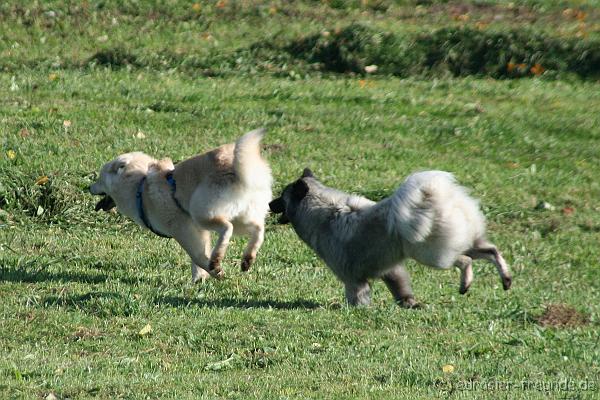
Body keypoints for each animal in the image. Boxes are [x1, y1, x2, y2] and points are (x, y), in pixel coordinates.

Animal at [88, 128, 272, 282]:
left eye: (99, 179)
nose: (88, 187)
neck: (140, 185)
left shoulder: (182, 228)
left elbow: (197, 256)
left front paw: (214, 271)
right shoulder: (198, 231)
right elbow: (198, 256)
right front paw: (199, 279)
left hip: (202, 212)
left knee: (227, 228)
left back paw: (216, 259)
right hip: (241, 216)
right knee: (258, 230)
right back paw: (247, 258)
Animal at [270, 169, 510, 306]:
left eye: (281, 197)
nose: (269, 204)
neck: (324, 213)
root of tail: (437, 197)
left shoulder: (352, 278)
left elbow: (357, 295)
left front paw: (356, 309)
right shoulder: (390, 270)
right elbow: (401, 288)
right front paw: (409, 304)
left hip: (431, 253)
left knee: (464, 260)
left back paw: (466, 283)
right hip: (466, 242)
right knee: (492, 251)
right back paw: (506, 279)